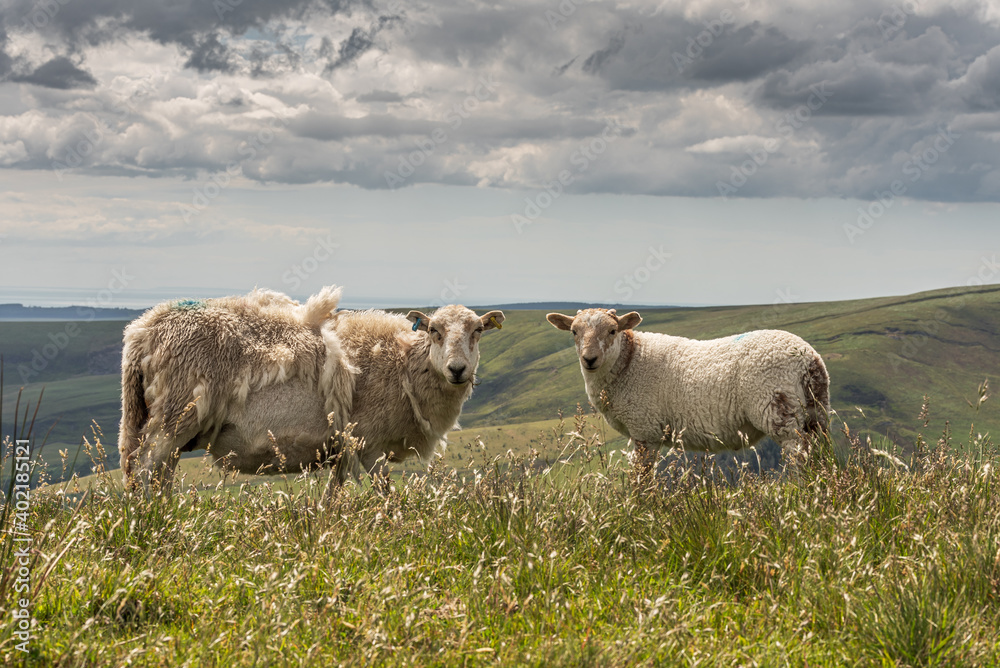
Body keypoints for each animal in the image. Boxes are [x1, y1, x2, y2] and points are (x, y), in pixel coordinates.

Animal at [546, 308, 830, 475]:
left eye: (613, 330)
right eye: (574, 332)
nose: (589, 359)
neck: (628, 362)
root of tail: (808, 358)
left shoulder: (644, 430)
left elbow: (642, 478)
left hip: (780, 410)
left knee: (801, 455)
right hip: (816, 412)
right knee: (821, 453)